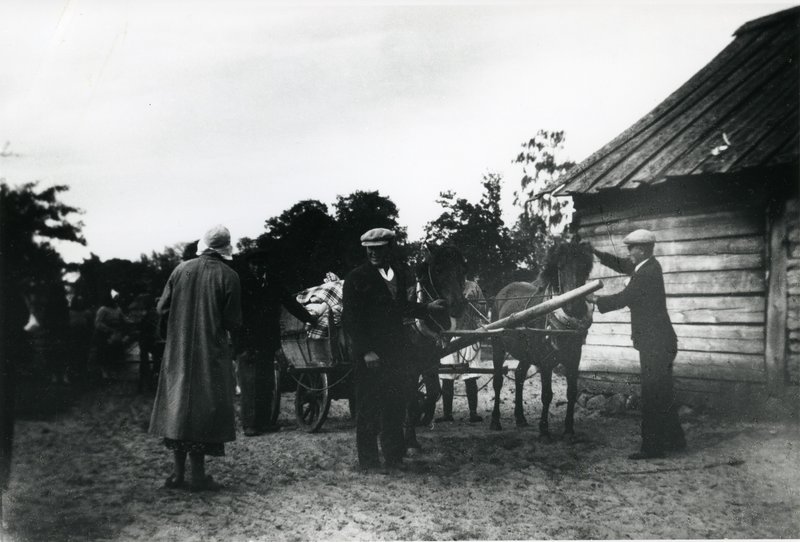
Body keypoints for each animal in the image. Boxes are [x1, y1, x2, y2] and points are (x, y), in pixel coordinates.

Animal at [403, 244, 468, 450]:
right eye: (438, 270)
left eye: (463, 270)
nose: (458, 305)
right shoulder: (409, 366)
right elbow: (409, 397)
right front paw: (410, 440)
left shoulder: (429, 362)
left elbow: (433, 393)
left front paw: (421, 418)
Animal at [490, 237, 594, 437]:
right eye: (560, 267)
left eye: (585, 267)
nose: (573, 306)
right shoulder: (546, 361)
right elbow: (547, 394)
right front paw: (544, 428)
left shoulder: (574, 358)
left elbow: (571, 392)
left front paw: (569, 429)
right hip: (497, 346)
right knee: (498, 381)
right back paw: (495, 422)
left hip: (526, 352)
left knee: (519, 375)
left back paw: (520, 418)